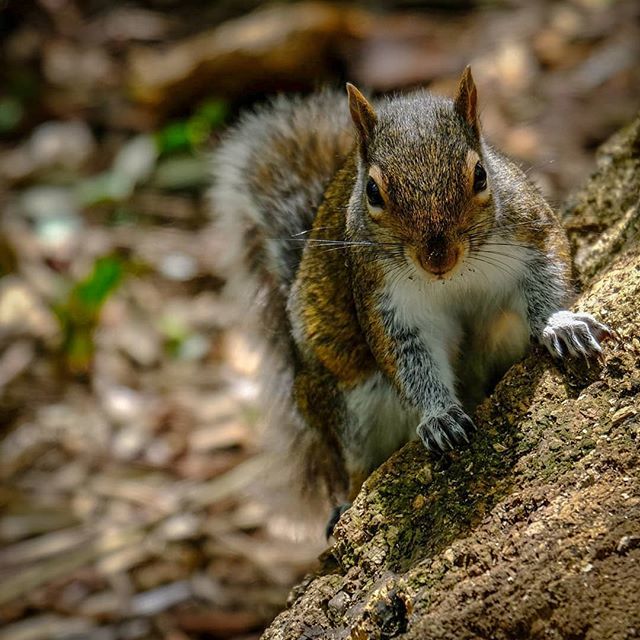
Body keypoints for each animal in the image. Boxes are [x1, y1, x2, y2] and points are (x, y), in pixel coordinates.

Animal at [210, 67, 610, 534]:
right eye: (373, 192)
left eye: (480, 175)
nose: (438, 258)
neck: (454, 278)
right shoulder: (383, 298)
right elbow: (408, 356)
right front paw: (439, 417)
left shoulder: (530, 231)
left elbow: (549, 273)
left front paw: (562, 324)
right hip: (345, 406)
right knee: (354, 463)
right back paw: (345, 503)